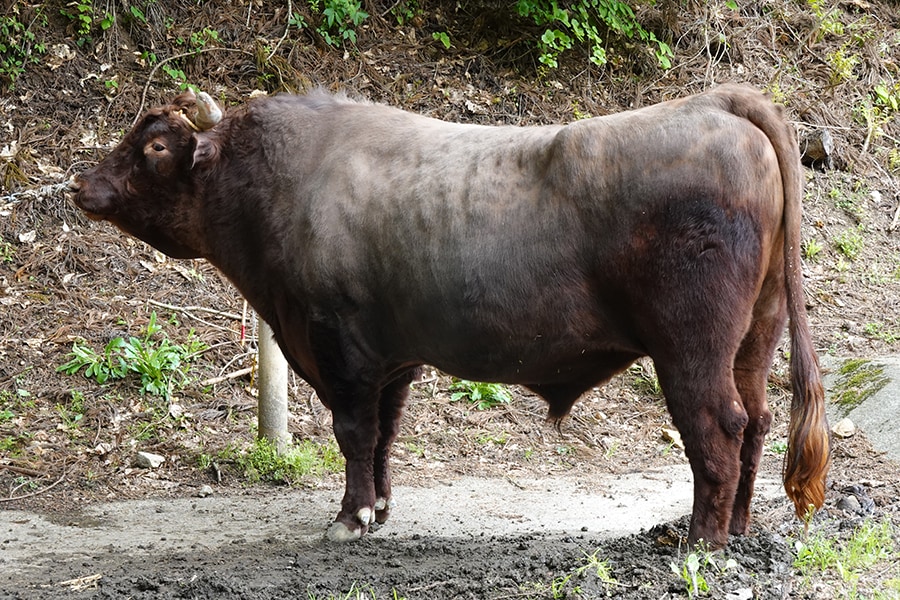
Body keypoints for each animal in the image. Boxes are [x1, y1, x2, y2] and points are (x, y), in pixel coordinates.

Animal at [68, 84, 828, 548]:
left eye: (154, 148)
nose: (80, 183)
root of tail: (717, 100)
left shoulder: (339, 348)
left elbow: (353, 434)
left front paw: (349, 517)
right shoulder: (390, 359)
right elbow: (382, 437)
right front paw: (378, 509)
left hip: (691, 348)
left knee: (717, 429)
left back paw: (701, 539)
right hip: (754, 338)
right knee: (757, 423)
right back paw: (737, 527)